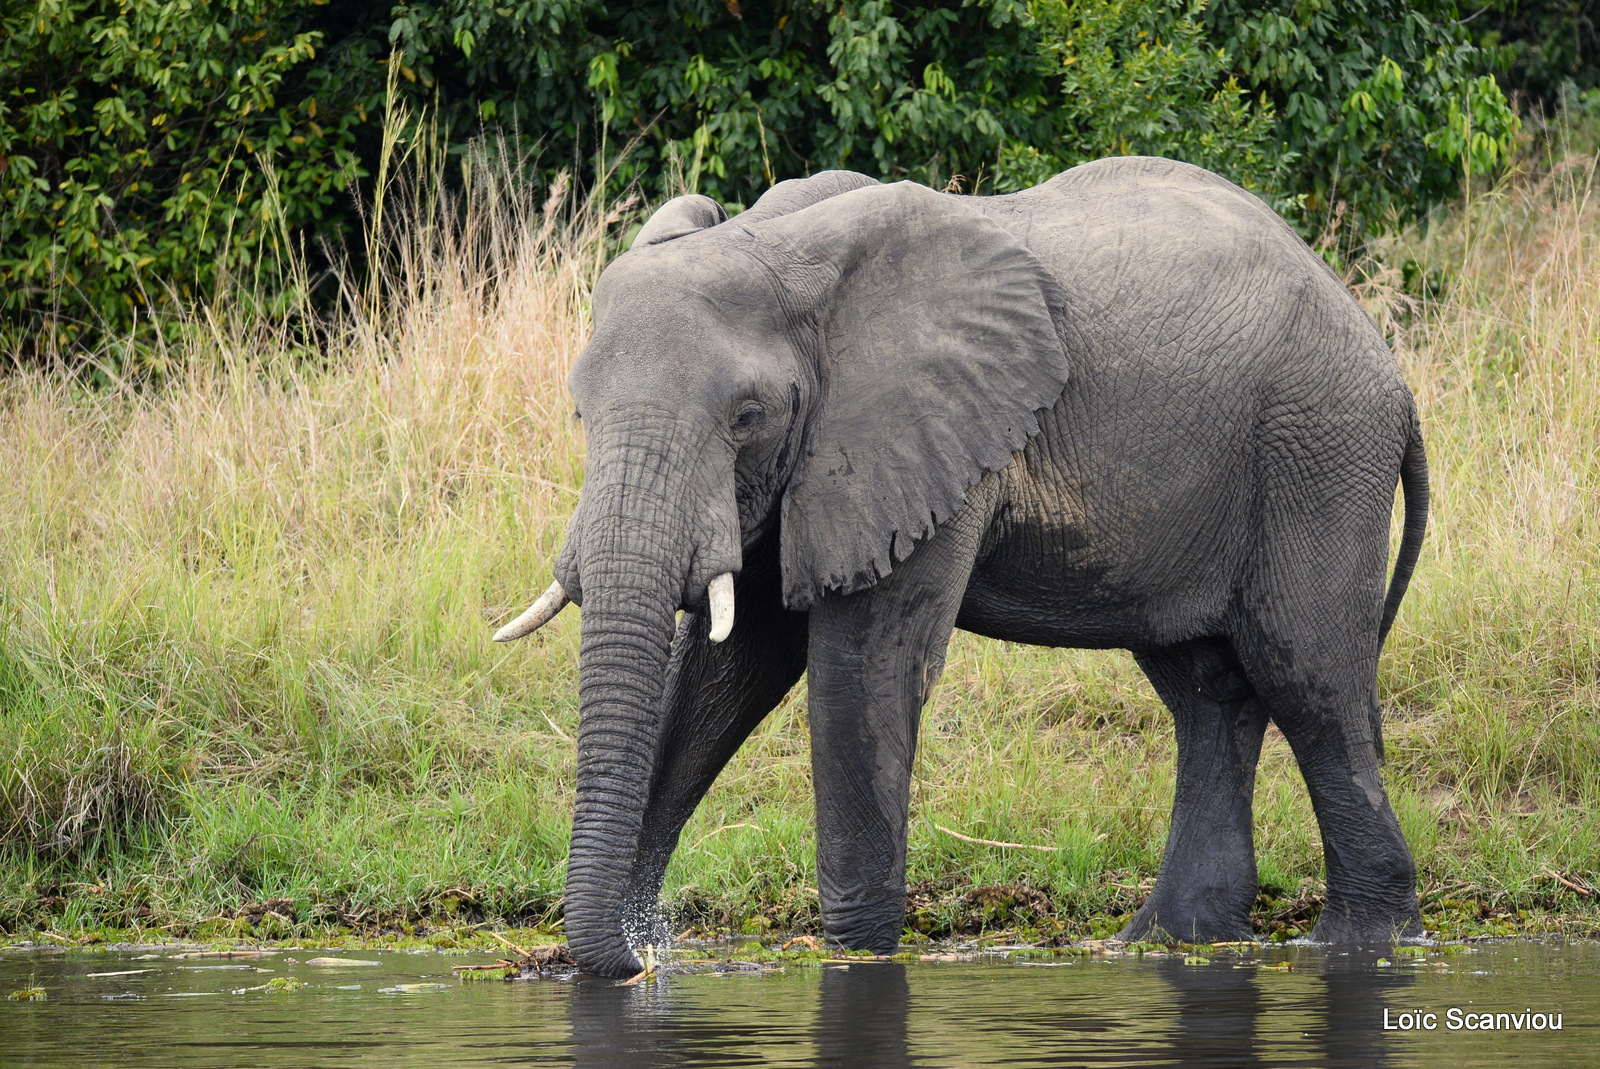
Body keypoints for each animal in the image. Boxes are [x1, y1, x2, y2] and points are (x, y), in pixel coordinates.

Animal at [496, 154, 1427, 979]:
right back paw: (1169, 941)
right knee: (1209, 689)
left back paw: (1361, 946)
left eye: (746, 416)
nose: (645, 952)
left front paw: (855, 959)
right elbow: (725, 671)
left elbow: (859, 672)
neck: (781, 252)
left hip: (1318, 450)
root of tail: (1383, 356)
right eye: (578, 411)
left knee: (1307, 677)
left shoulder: (916, 440)